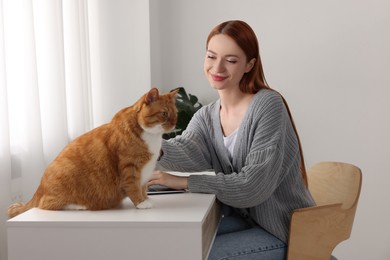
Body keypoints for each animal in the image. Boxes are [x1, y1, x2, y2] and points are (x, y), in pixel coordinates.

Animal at [7, 87, 178, 217]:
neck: (152, 137)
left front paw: (146, 198)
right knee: (46, 205)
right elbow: (133, 187)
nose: (174, 123)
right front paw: (141, 203)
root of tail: (39, 189)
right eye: (164, 114)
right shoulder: (130, 169)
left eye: (176, 114)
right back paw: (79, 205)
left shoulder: (145, 172)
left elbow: (142, 188)